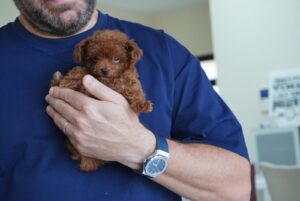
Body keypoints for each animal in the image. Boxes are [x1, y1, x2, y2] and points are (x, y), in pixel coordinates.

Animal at [51, 29, 152, 171]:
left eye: (116, 59)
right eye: (95, 58)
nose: (104, 70)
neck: (107, 80)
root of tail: (87, 161)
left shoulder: (128, 81)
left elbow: (135, 90)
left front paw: (142, 103)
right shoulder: (88, 74)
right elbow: (79, 71)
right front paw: (67, 81)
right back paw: (57, 79)